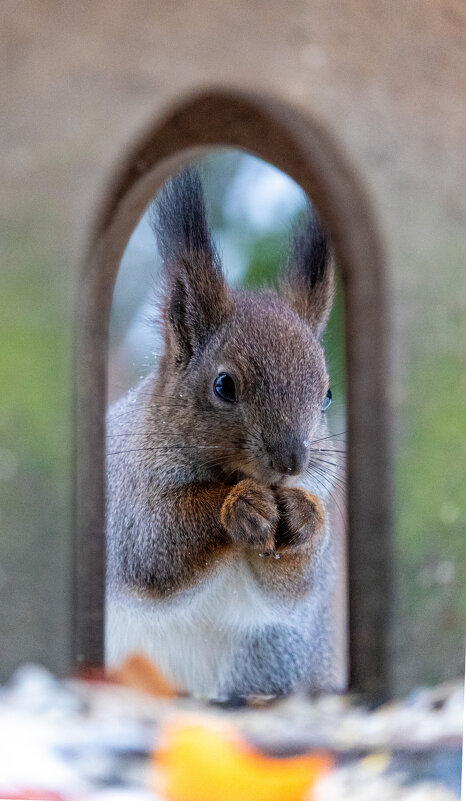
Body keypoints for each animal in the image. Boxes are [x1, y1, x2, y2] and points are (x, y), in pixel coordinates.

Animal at [107, 166, 344, 696]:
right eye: (223, 385)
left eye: (327, 394)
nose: (292, 462)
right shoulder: (124, 502)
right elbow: (155, 545)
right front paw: (238, 505)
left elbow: (295, 585)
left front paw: (303, 515)